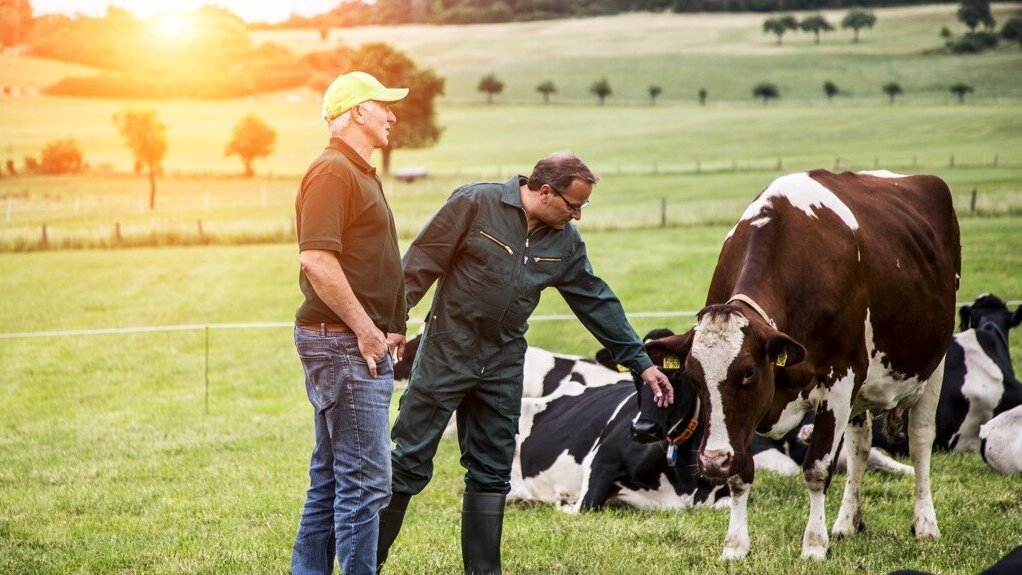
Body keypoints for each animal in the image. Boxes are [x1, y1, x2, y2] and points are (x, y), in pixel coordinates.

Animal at [643, 170, 960, 560]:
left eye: (748, 372)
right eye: (692, 375)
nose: (713, 460)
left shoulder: (839, 380)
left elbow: (817, 468)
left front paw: (814, 544)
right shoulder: (745, 420)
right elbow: (740, 473)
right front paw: (735, 545)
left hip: (933, 364)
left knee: (920, 441)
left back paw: (925, 524)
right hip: (862, 393)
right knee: (860, 445)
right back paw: (846, 522)